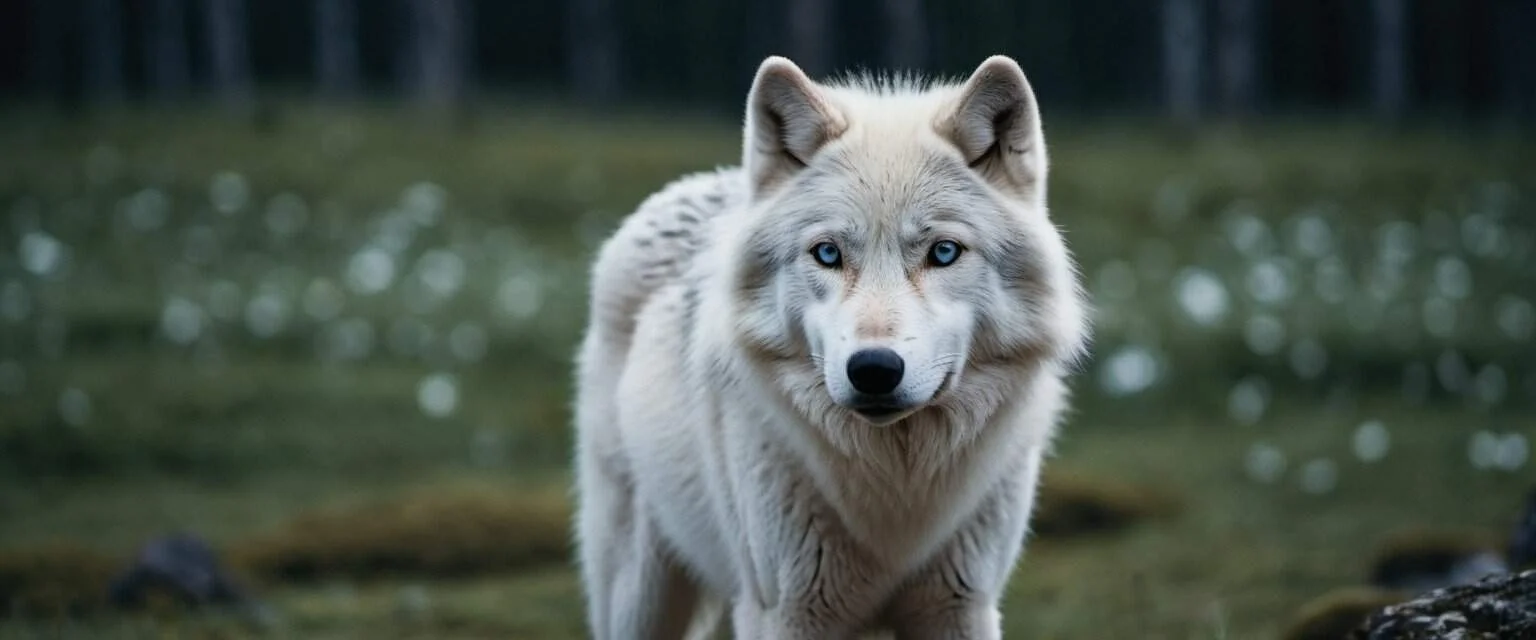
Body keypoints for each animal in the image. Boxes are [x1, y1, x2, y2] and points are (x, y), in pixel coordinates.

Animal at [572, 54, 1090, 639]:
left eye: (943, 252)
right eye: (827, 253)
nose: (874, 369)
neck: (896, 491)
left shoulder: (962, 605)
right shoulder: (786, 611)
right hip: (638, 594)